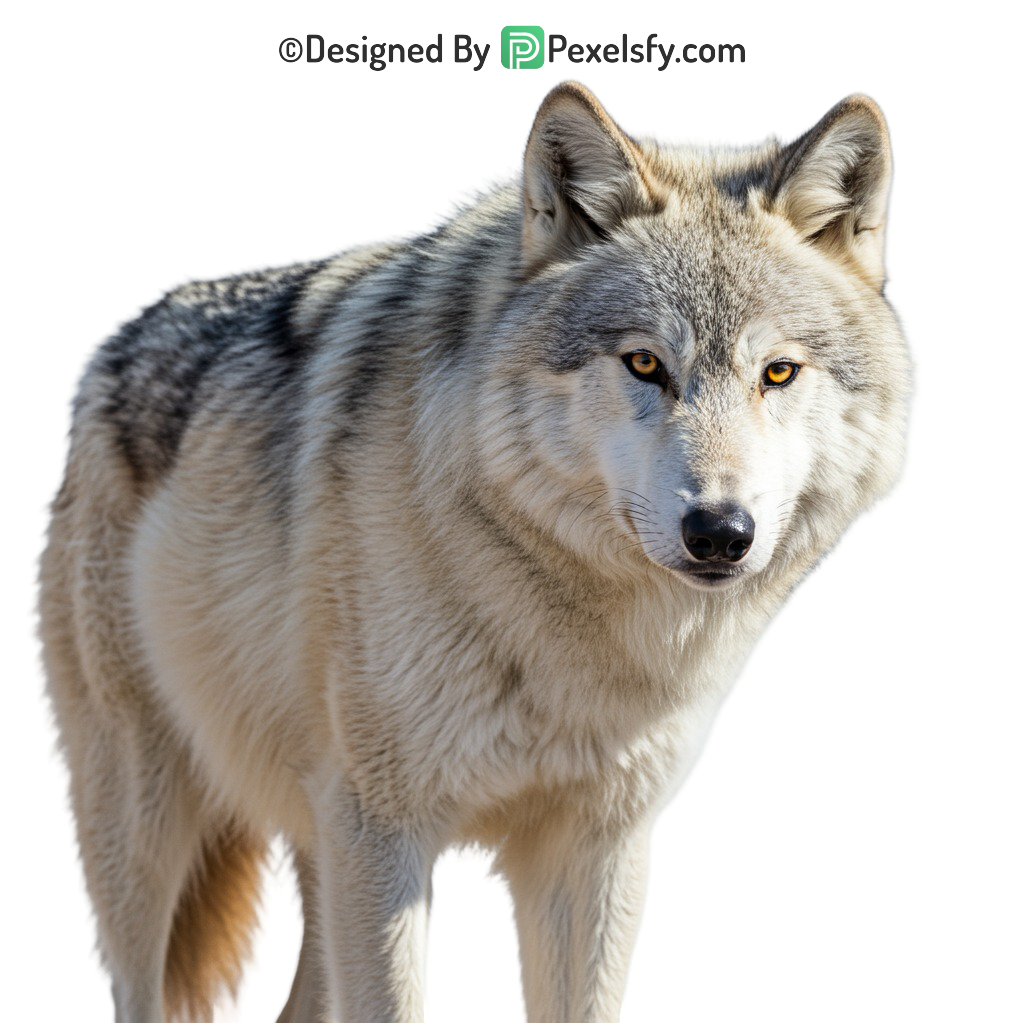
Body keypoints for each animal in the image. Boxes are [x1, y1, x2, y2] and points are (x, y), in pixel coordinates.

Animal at [29, 77, 920, 1022]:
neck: (562, 633)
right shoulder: (383, 834)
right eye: (644, 364)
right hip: (148, 851)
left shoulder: (595, 851)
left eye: (778, 373)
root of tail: (122, 330)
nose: (719, 532)